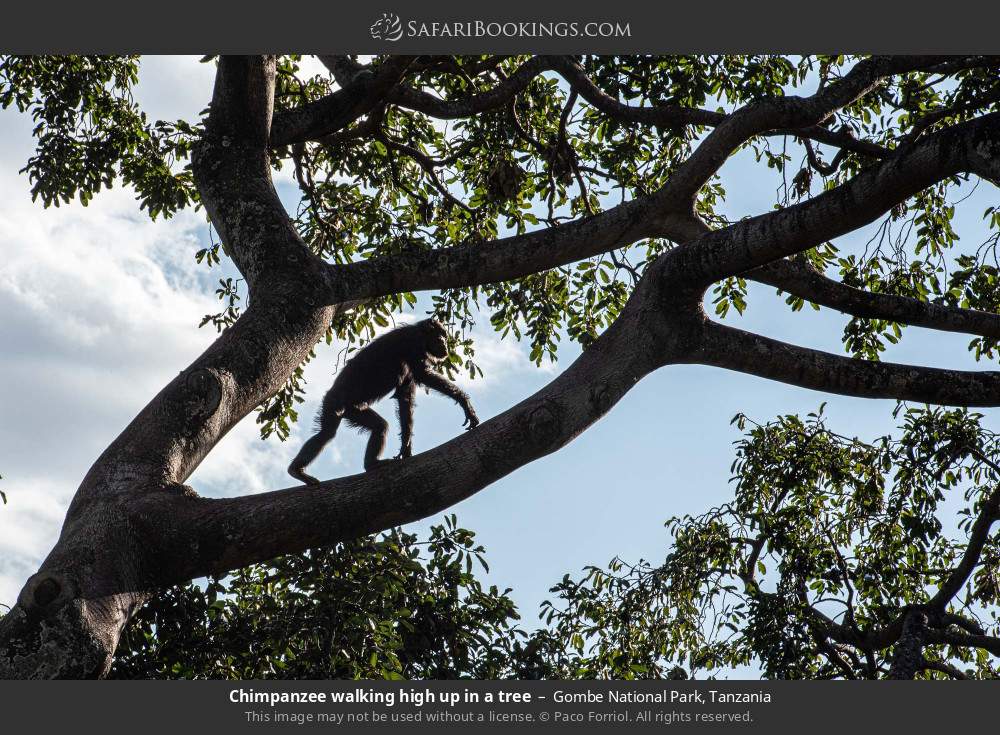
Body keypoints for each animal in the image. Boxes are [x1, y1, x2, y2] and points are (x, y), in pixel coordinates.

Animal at [288, 319, 480, 484]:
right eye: (441, 336)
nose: (446, 344)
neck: (421, 336)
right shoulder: (413, 345)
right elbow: (423, 375)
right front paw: (465, 403)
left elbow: (405, 398)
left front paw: (406, 446)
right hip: (333, 403)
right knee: (327, 434)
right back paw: (298, 471)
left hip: (352, 410)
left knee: (369, 428)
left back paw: (369, 464)